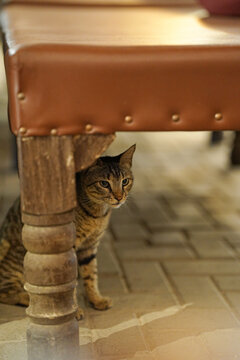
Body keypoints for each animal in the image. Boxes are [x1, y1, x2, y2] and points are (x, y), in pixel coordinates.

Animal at [0, 145, 136, 316]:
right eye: (104, 184)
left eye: (125, 181)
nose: (119, 197)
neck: (97, 214)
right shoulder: (70, 246)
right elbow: (71, 281)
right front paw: (73, 310)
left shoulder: (90, 246)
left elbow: (91, 275)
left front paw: (96, 300)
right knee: (7, 291)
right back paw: (33, 302)